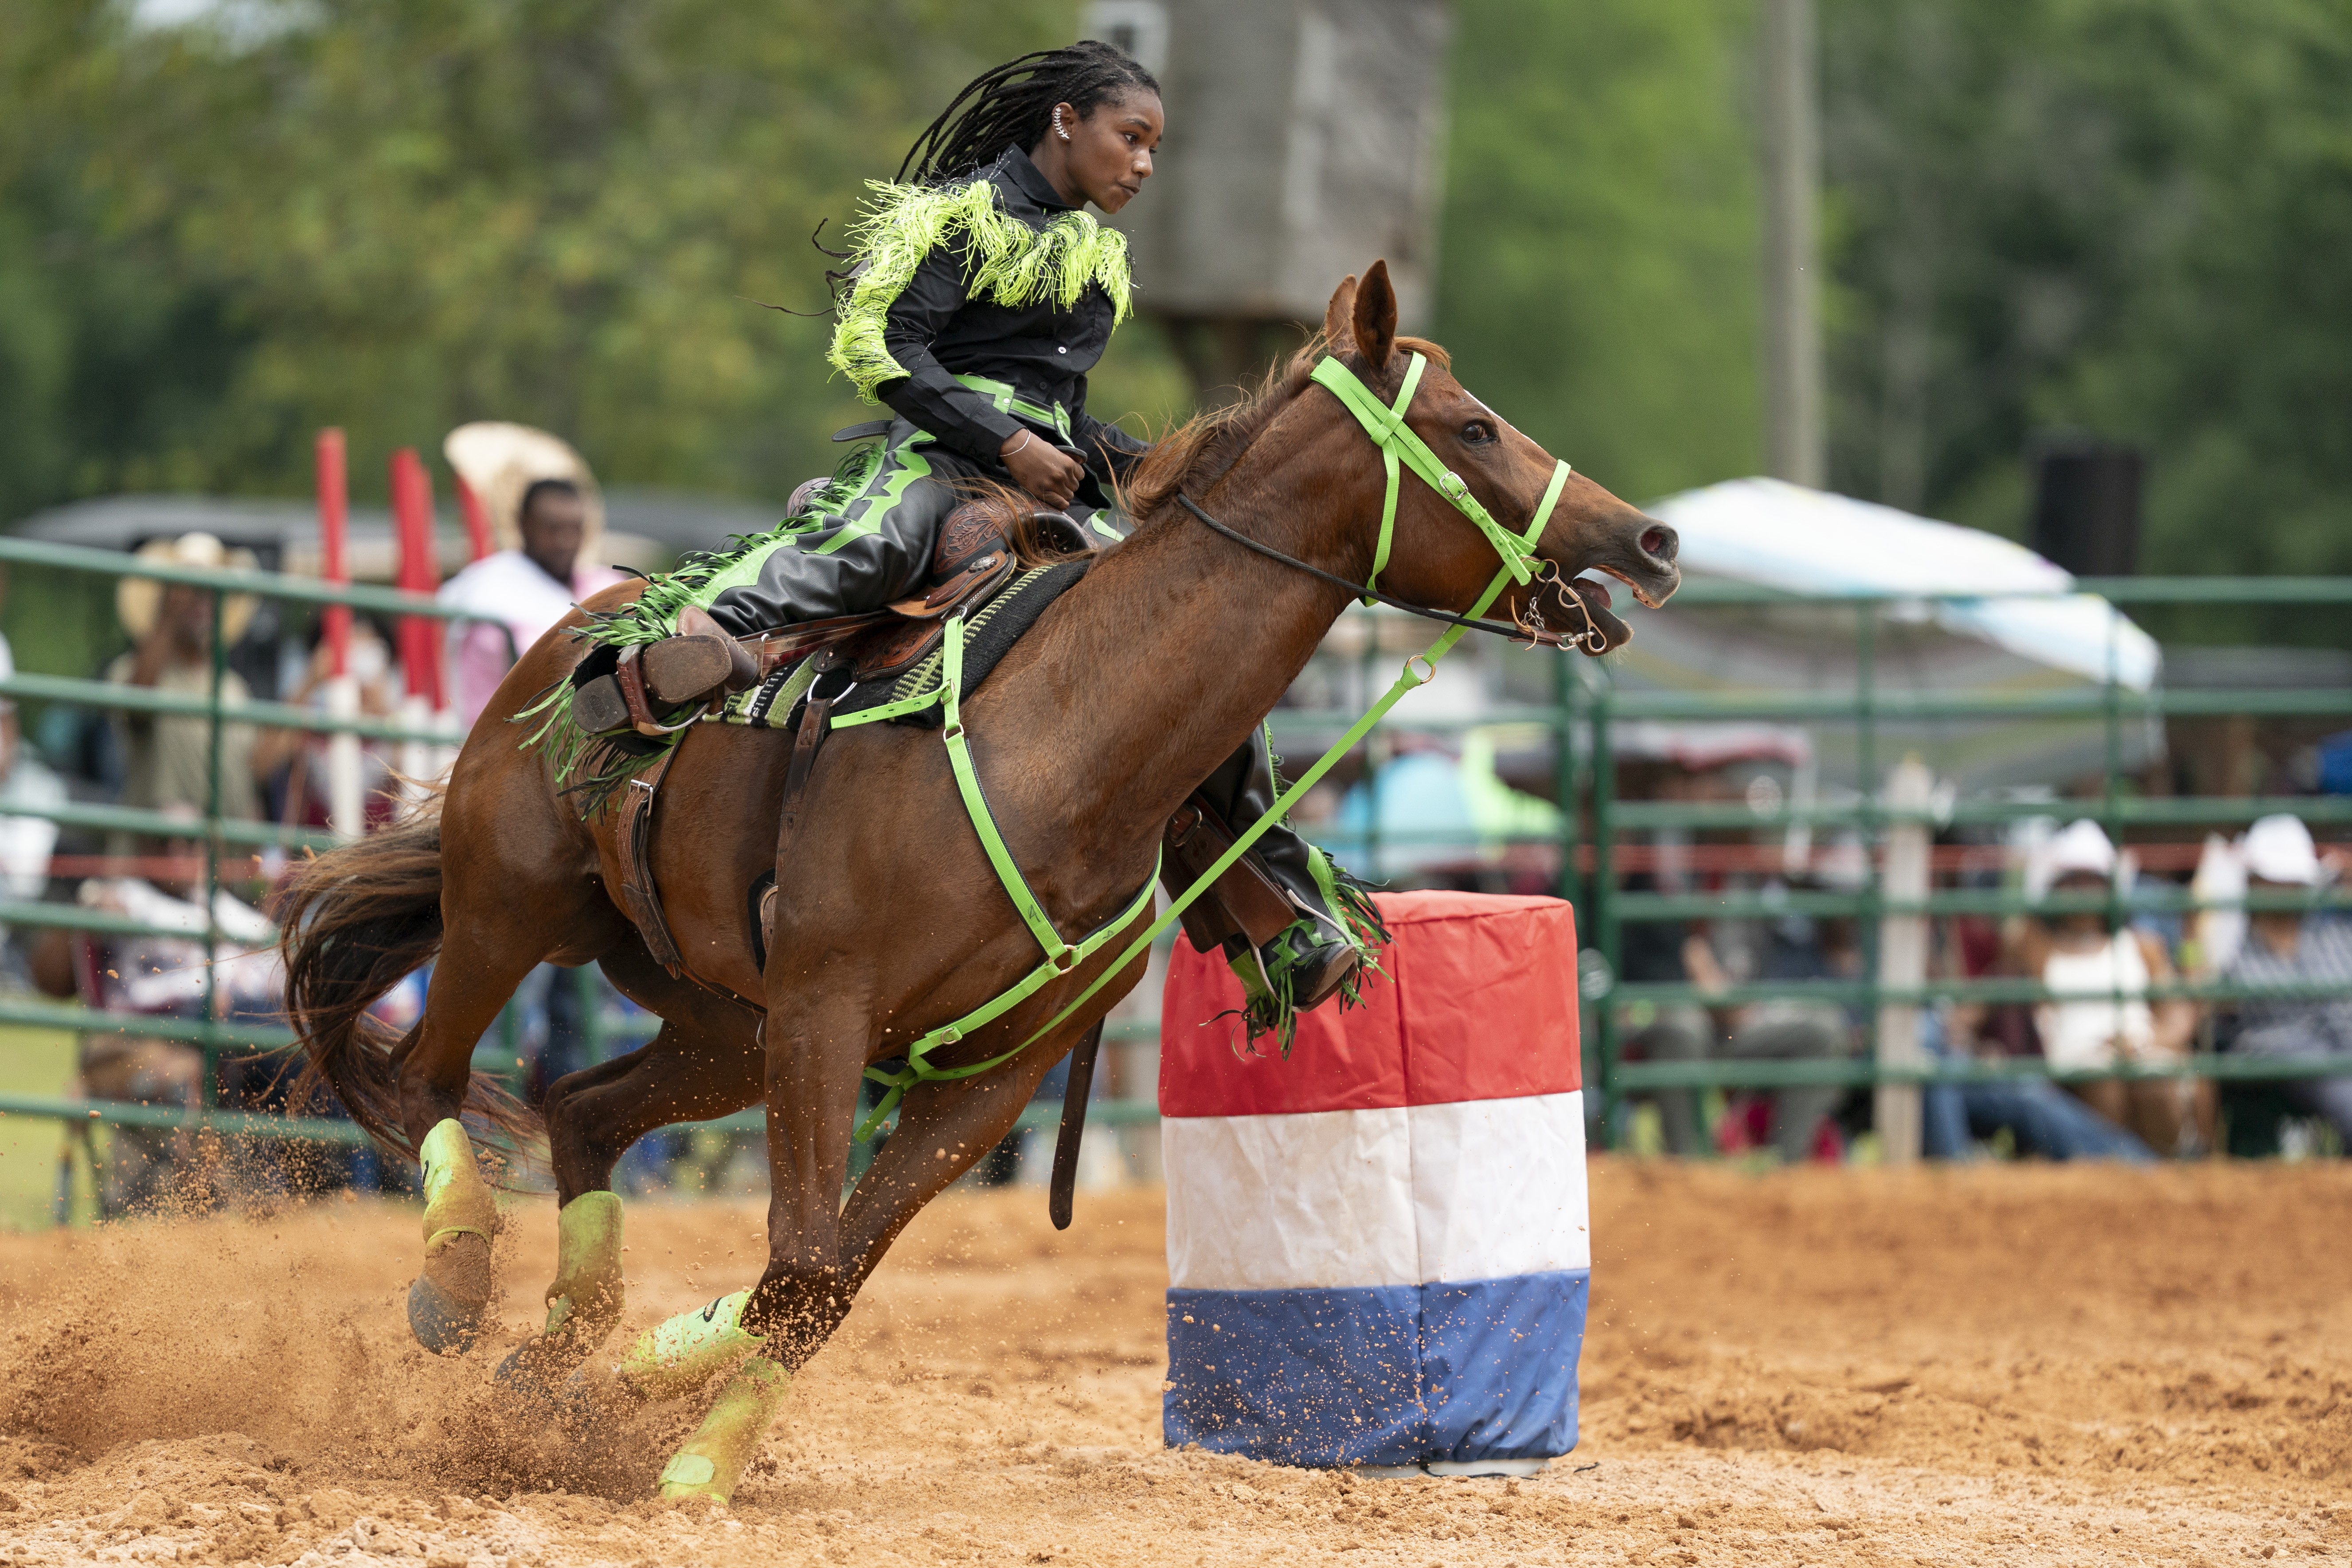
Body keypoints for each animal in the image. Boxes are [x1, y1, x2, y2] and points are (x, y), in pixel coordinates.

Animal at [278, 261, 1682, 1501]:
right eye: (1473, 425)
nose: (1653, 537)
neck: (1066, 745)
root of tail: (570, 633)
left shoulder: (986, 1079)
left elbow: (819, 1286)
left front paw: (666, 1417)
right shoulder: (830, 1015)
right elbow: (802, 1263)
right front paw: (674, 1432)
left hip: (723, 1025)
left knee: (578, 1108)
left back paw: (561, 1360)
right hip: (513, 912)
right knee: (429, 1076)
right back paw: (457, 1285)